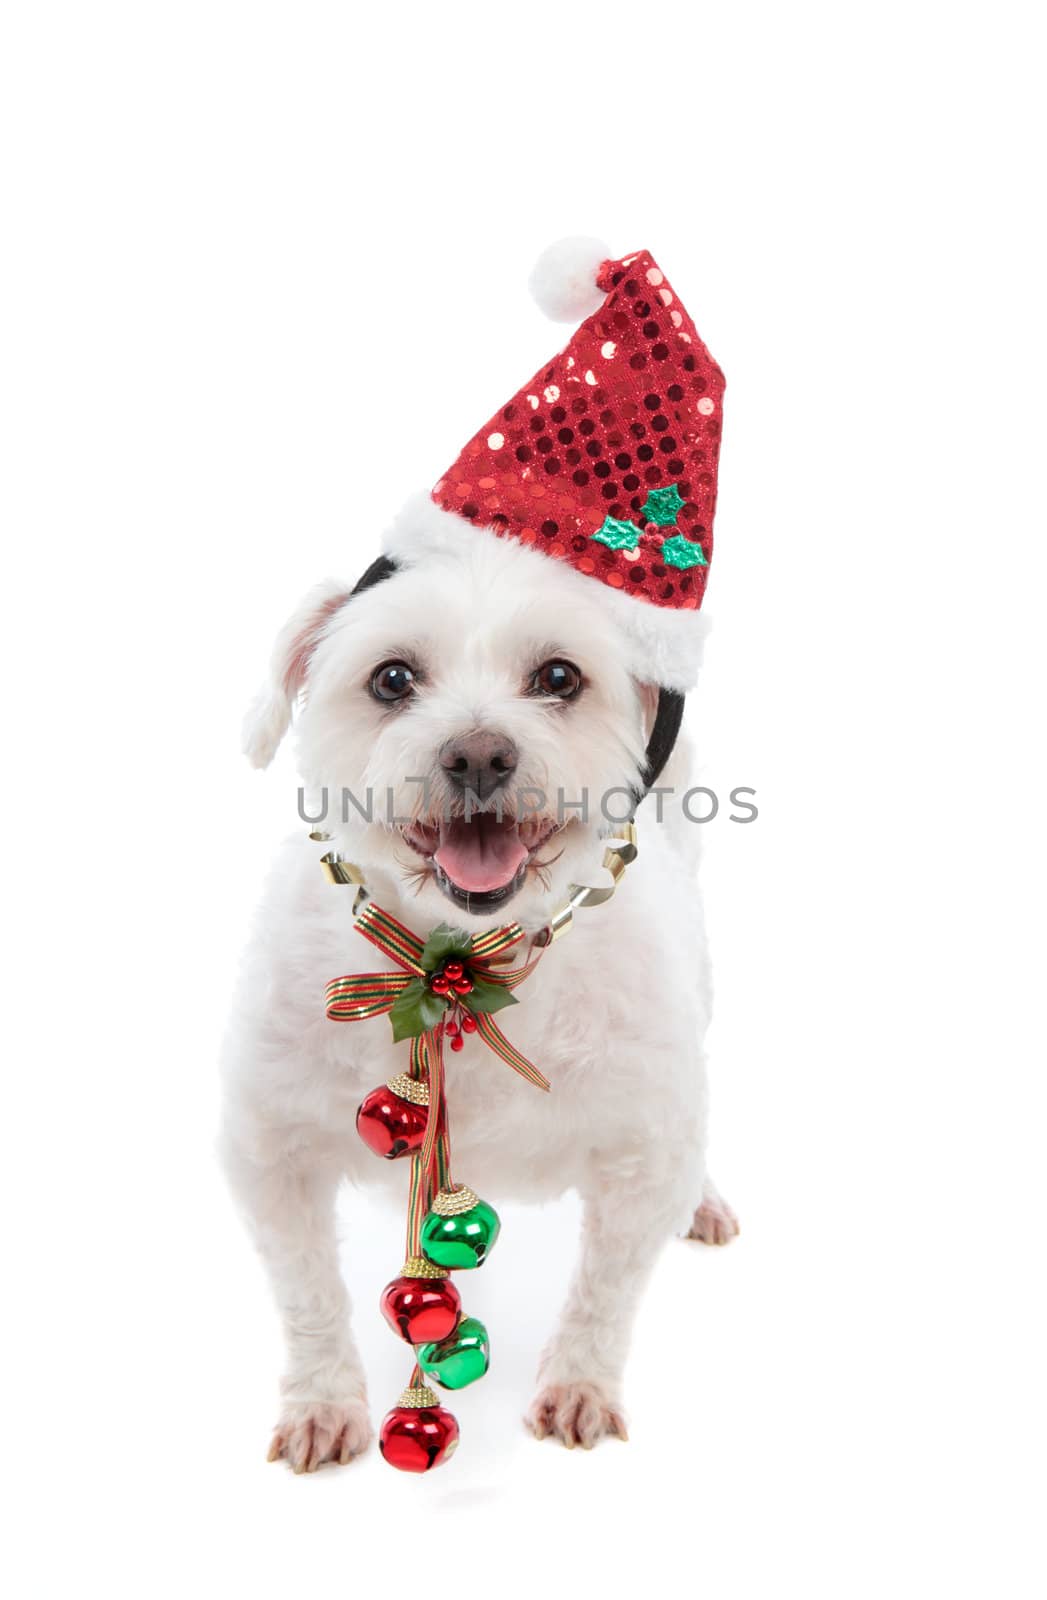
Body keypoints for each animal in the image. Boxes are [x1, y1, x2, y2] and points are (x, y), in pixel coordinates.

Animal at [219, 240, 739, 1472]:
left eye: (558, 677)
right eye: (391, 678)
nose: (478, 753)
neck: (459, 966)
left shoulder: (645, 1144)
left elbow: (608, 1289)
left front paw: (581, 1384)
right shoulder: (267, 1144)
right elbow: (307, 1294)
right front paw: (323, 1401)